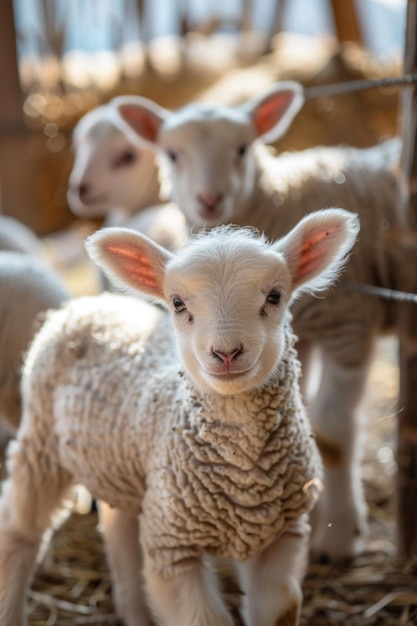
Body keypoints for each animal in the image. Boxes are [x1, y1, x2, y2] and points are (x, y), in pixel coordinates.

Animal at [0, 208, 358, 624]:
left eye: (275, 296)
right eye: (177, 303)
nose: (226, 352)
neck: (245, 474)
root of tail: (91, 303)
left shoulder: (281, 539)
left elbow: (280, 610)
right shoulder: (173, 550)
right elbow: (204, 617)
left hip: (127, 472)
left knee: (119, 532)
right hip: (40, 443)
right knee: (19, 534)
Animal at [108, 80, 404, 560]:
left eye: (243, 148)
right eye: (172, 153)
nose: (209, 200)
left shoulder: (347, 322)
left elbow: (332, 435)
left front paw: (338, 535)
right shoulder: (310, 330)